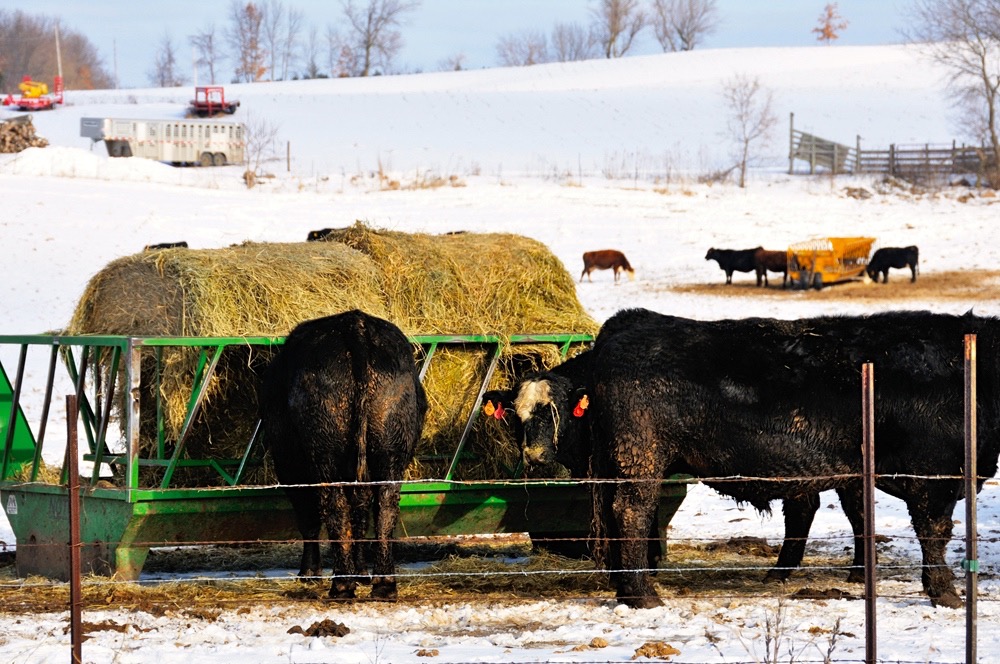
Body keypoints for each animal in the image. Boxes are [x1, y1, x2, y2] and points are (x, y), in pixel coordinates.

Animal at [258, 312, 426, 600]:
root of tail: (354, 323)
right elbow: (360, 514)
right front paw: (361, 572)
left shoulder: (290, 466)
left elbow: (309, 517)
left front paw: (310, 574)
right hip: (391, 450)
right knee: (384, 507)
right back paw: (383, 583)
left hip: (324, 454)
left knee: (334, 506)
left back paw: (342, 584)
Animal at [520, 308, 996, 608]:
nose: (533, 454)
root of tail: (631, 321)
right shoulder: (933, 475)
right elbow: (933, 534)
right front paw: (945, 593)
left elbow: (866, 518)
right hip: (640, 459)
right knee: (632, 513)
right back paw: (642, 596)